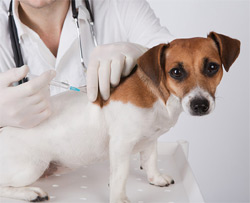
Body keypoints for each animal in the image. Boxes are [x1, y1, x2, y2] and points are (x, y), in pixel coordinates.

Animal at [0, 30, 239, 202]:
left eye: (212, 67)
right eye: (176, 72)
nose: (200, 104)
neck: (160, 97)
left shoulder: (150, 140)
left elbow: (150, 160)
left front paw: (155, 178)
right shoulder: (121, 145)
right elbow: (120, 176)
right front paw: (119, 198)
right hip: (31, 167)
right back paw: (29, 192)